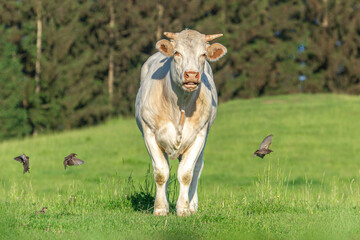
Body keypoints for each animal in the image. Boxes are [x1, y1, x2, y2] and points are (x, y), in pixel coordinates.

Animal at [135, 29, 228, 216]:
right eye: (177, 53)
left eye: (203, 54)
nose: (191, 74)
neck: (181, 105)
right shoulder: (149, 134)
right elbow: (161, 173)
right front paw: (160, 208)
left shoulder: (199, 135)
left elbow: (186, 173)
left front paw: (184, 209)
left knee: (197, 168)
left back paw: (193, 205)